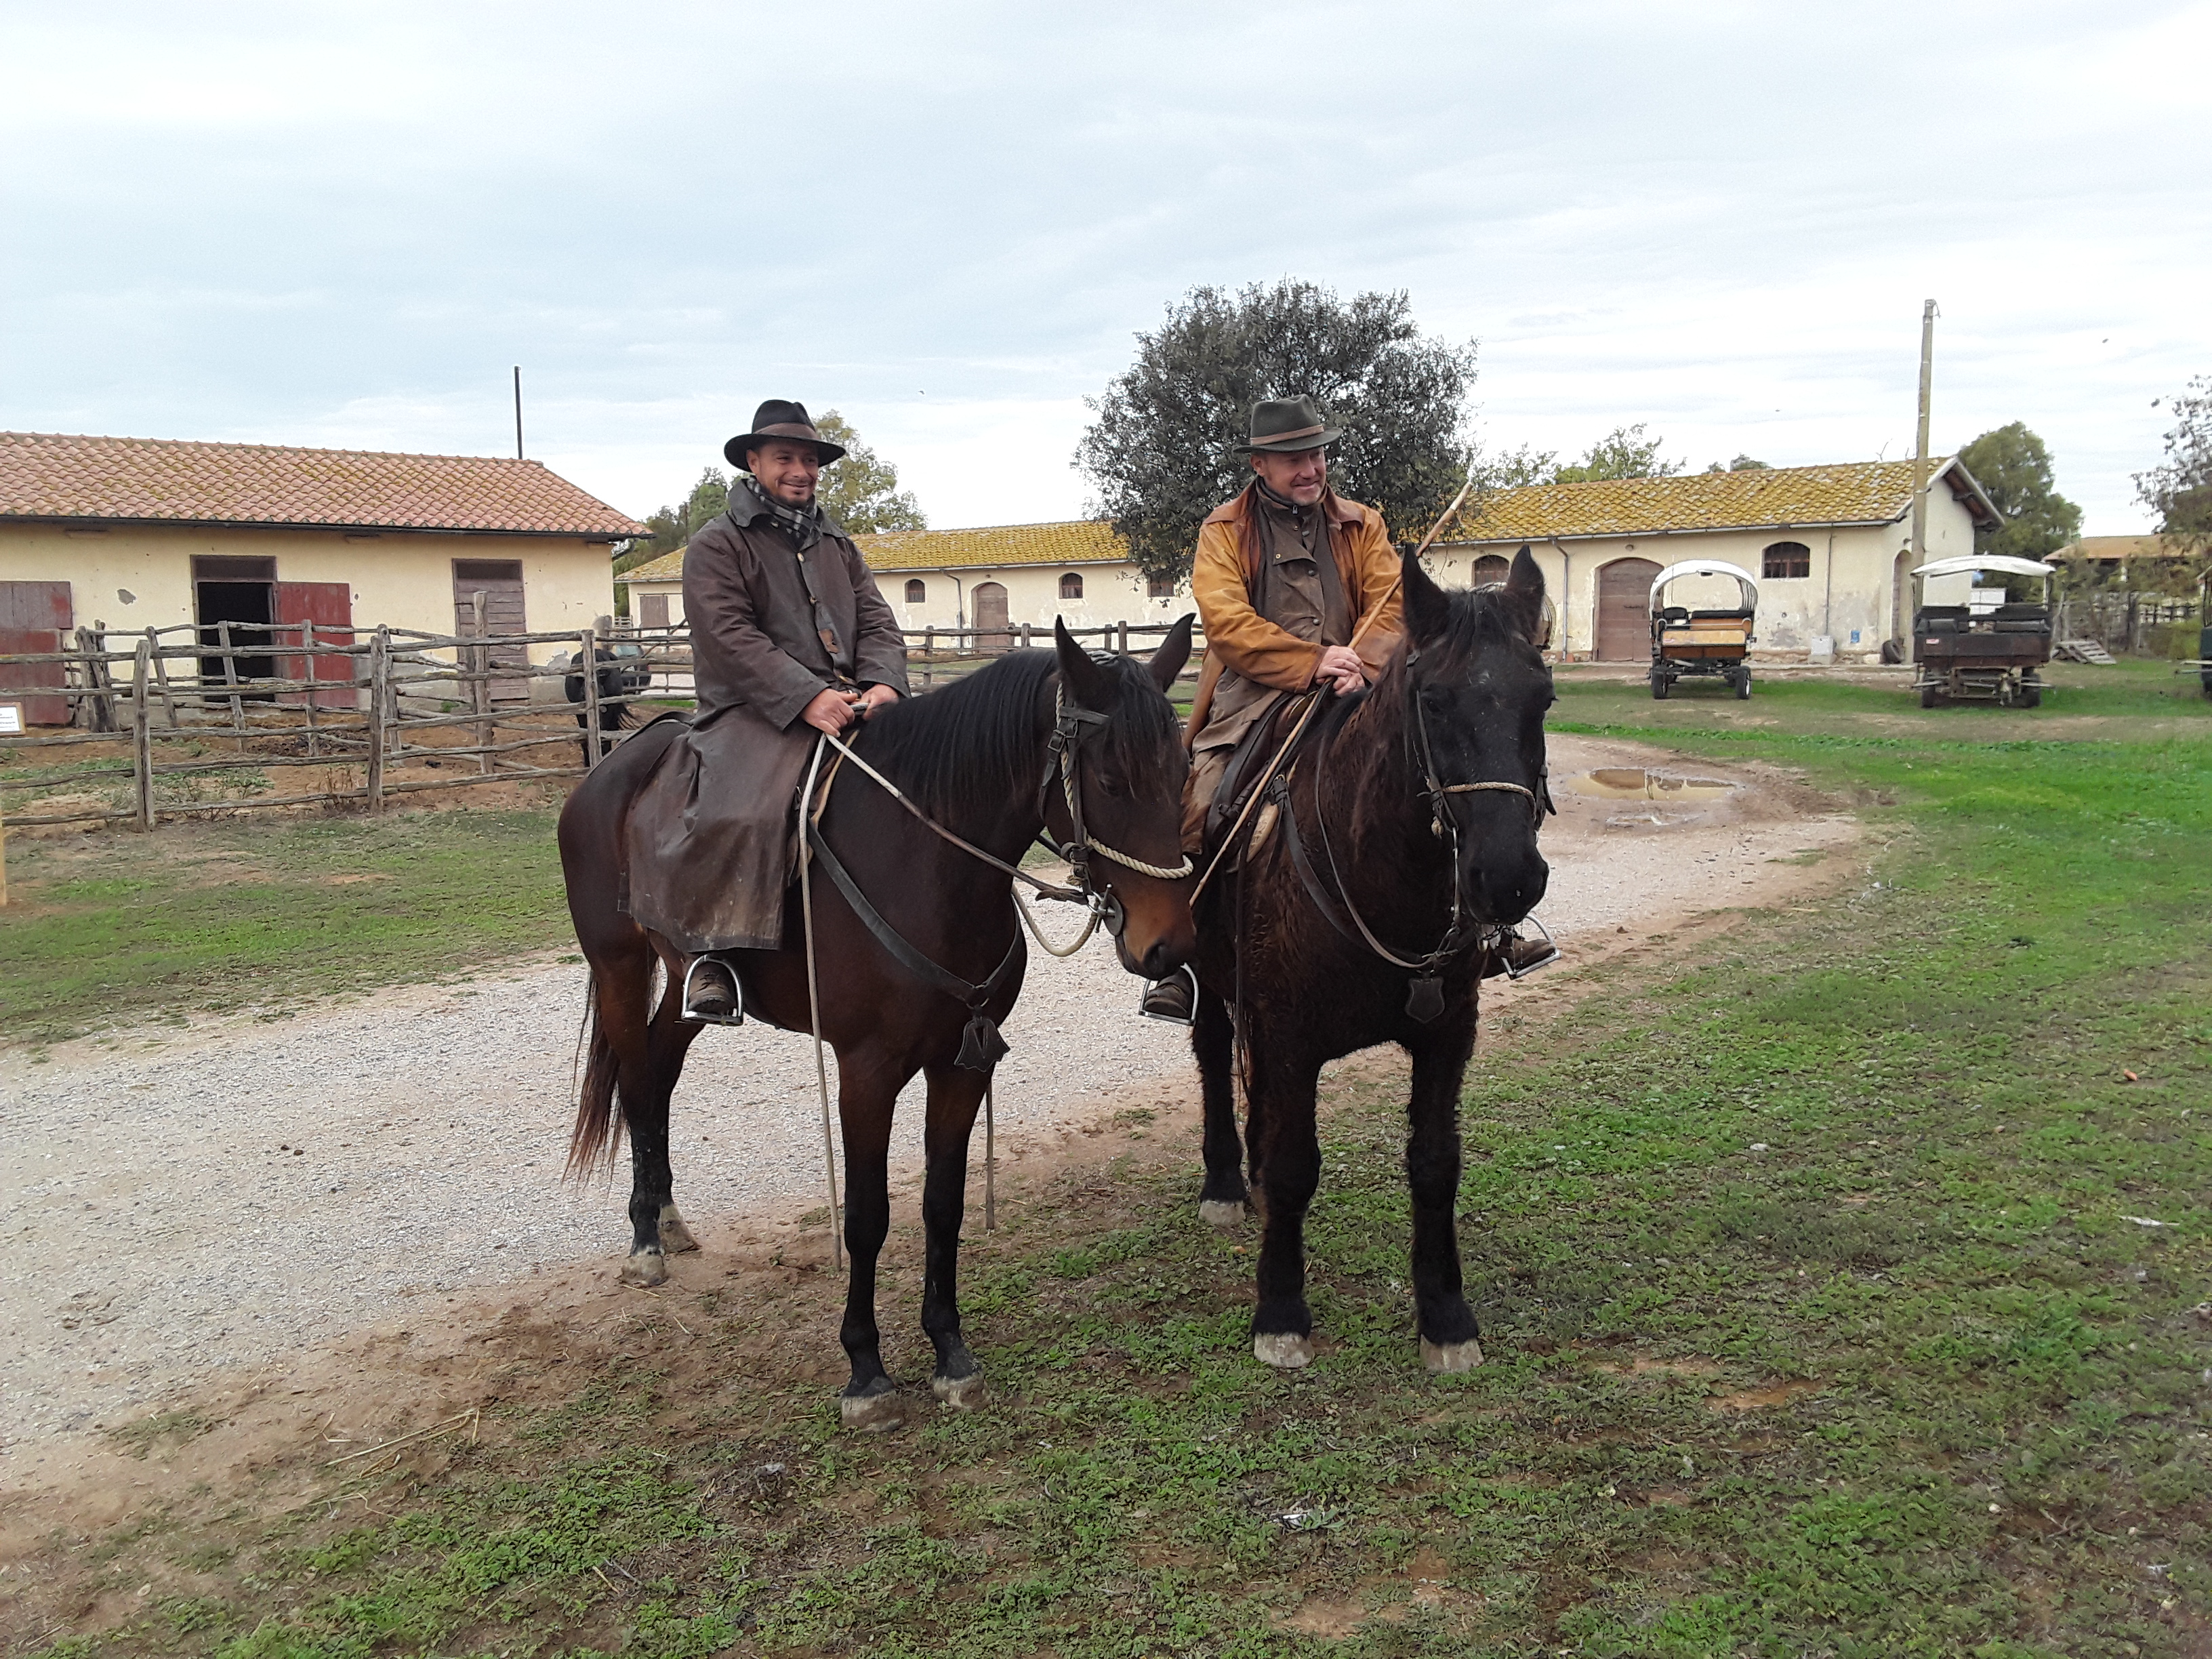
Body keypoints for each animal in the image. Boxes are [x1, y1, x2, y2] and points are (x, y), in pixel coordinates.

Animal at [562, 623, 1203, 1433]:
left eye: (1183, 770)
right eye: (1112, 781)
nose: (1167, 947)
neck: (924, 865)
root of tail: (618, 766)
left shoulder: (962, 1064)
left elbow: (942, 1204)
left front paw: (950, 1350)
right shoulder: (866, 1072)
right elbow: (867, 1217)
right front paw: (865, 1371)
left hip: (682, 979)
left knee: (659, 1070)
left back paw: (668, 1217)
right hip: (618, 965)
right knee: (637, 1078)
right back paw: (645, 1239)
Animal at [1194, 555, 1557, 1380]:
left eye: (1545, 697)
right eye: (1434, 699)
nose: (1509, 878)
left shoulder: (1448, 1037)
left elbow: (1435, 1162)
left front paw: (1446, 1316)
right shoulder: (1291, 1039)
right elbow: (1295, 1166)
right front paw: (1281, 1312)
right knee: (1211, 1055)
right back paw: (1227, 1182)